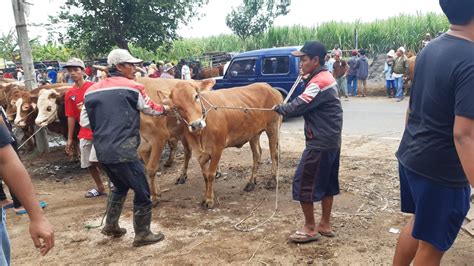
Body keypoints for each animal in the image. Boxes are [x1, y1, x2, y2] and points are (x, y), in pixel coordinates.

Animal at [170, 80, 282, 209]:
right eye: (176, 107)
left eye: (196, 96)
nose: (196, 124)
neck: (200, 135)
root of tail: (270, 88)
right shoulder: (199, 153)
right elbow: (205, 176)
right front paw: (205, 197)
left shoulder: (217, 149)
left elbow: (211, 175)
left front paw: (209, 200)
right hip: (253, 134)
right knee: (257, 155)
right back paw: (251, 183)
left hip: (273, 128)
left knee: (274, 154)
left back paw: (272, 181)